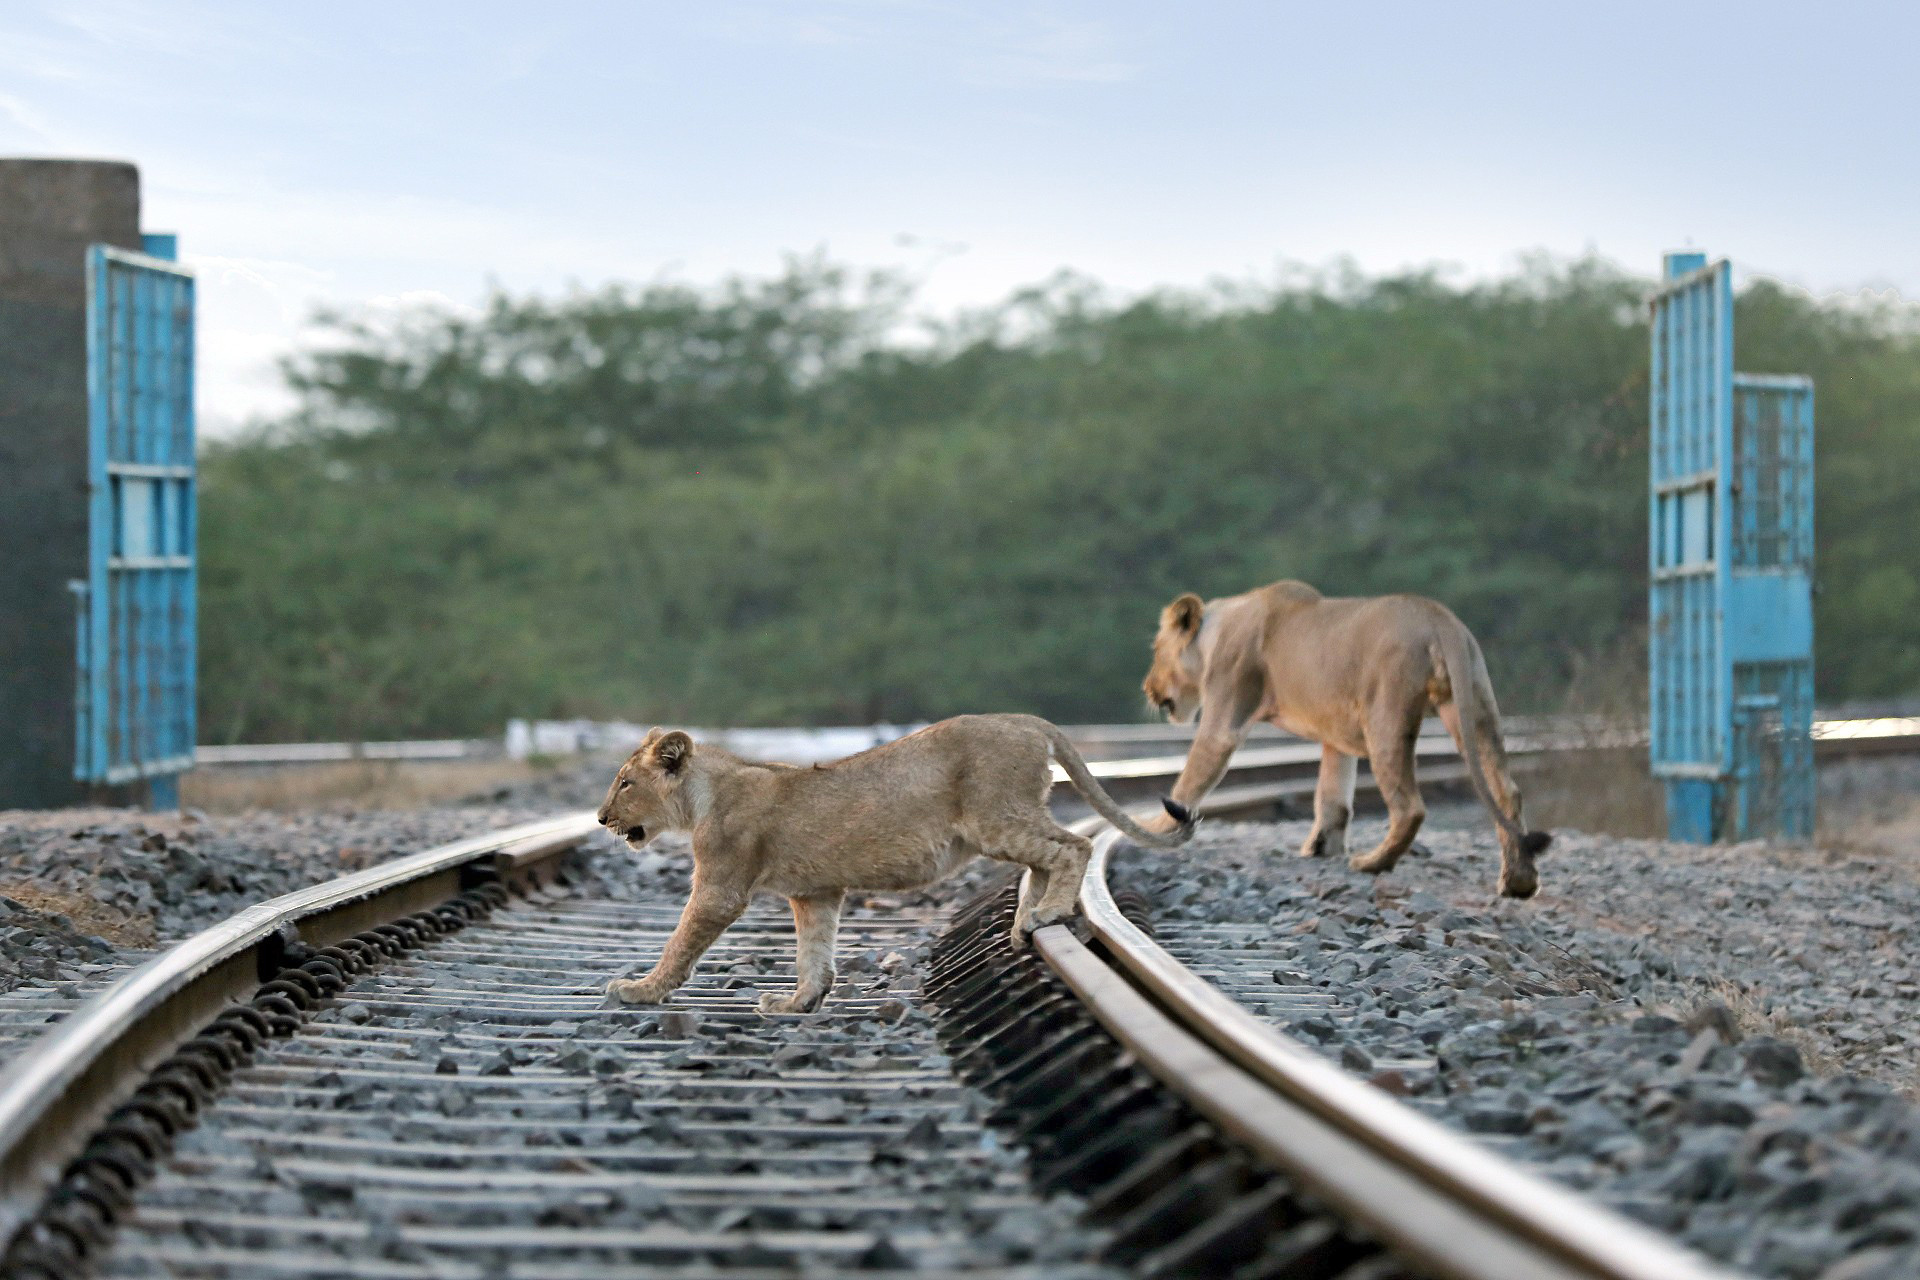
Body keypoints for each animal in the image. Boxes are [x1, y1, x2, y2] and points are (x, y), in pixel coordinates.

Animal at [595, 714, 1195, 1013]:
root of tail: (1026, 720)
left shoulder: (721, 887)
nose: (600, 818)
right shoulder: (815, 892)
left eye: (625, 782)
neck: (703, 794)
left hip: (993, 817)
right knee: (1047, 858)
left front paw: (639, 990)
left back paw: (1046, 915)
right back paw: (1027, 920)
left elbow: (680, 943)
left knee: (1074, 846)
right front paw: (798, 1002)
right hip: (1006, 819)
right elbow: (814, 951)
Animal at [1141, 580, 1551, 897]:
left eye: (1156, 651)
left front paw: (1153, 827)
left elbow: (1190, 779)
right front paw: (1321, 849)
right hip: (1476, 707)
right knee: (1507, 791)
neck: (1217, 629)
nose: (1147, 688)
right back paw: (1518, 882)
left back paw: (1371, 863)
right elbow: (1333, 796)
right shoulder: (1336, 736)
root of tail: (1440, 618)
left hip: (1385, 716)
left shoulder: (1226, 714)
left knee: (1411, 808)